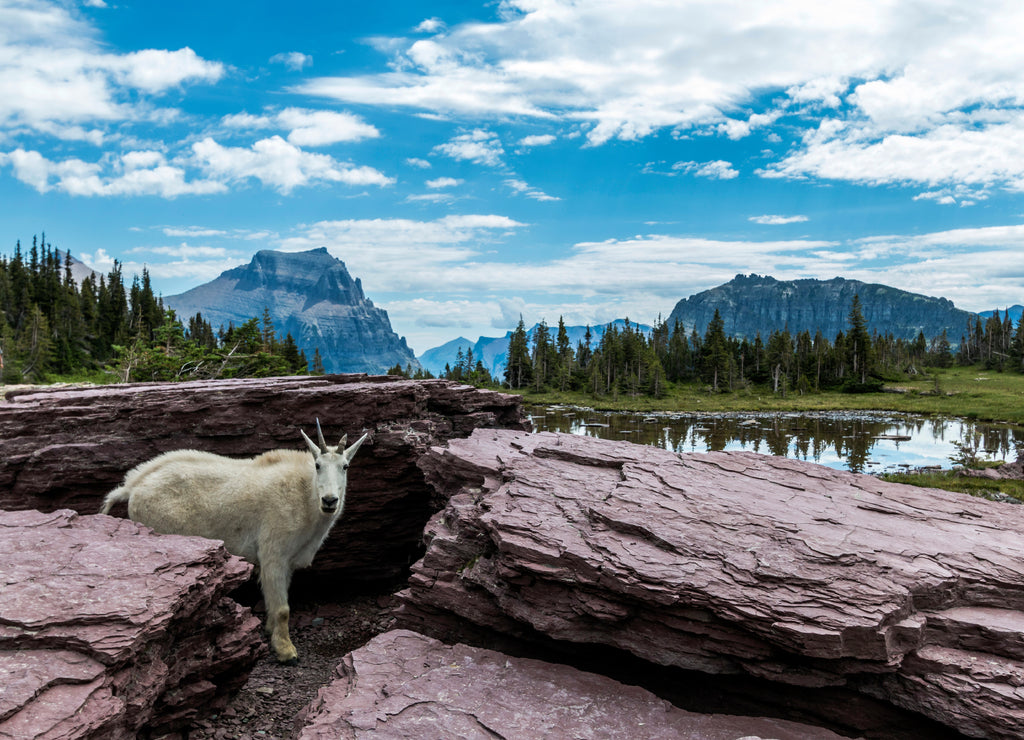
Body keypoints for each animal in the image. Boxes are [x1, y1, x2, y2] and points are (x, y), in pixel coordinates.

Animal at [101, 421, 366, 667]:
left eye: (345, 466)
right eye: (317, 465)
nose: (330, 501)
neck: (305, 497)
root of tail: (132, 488)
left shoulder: (288, 561)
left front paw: (270, 632)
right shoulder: (273, 554)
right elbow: (283, 610)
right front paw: (286, 652)